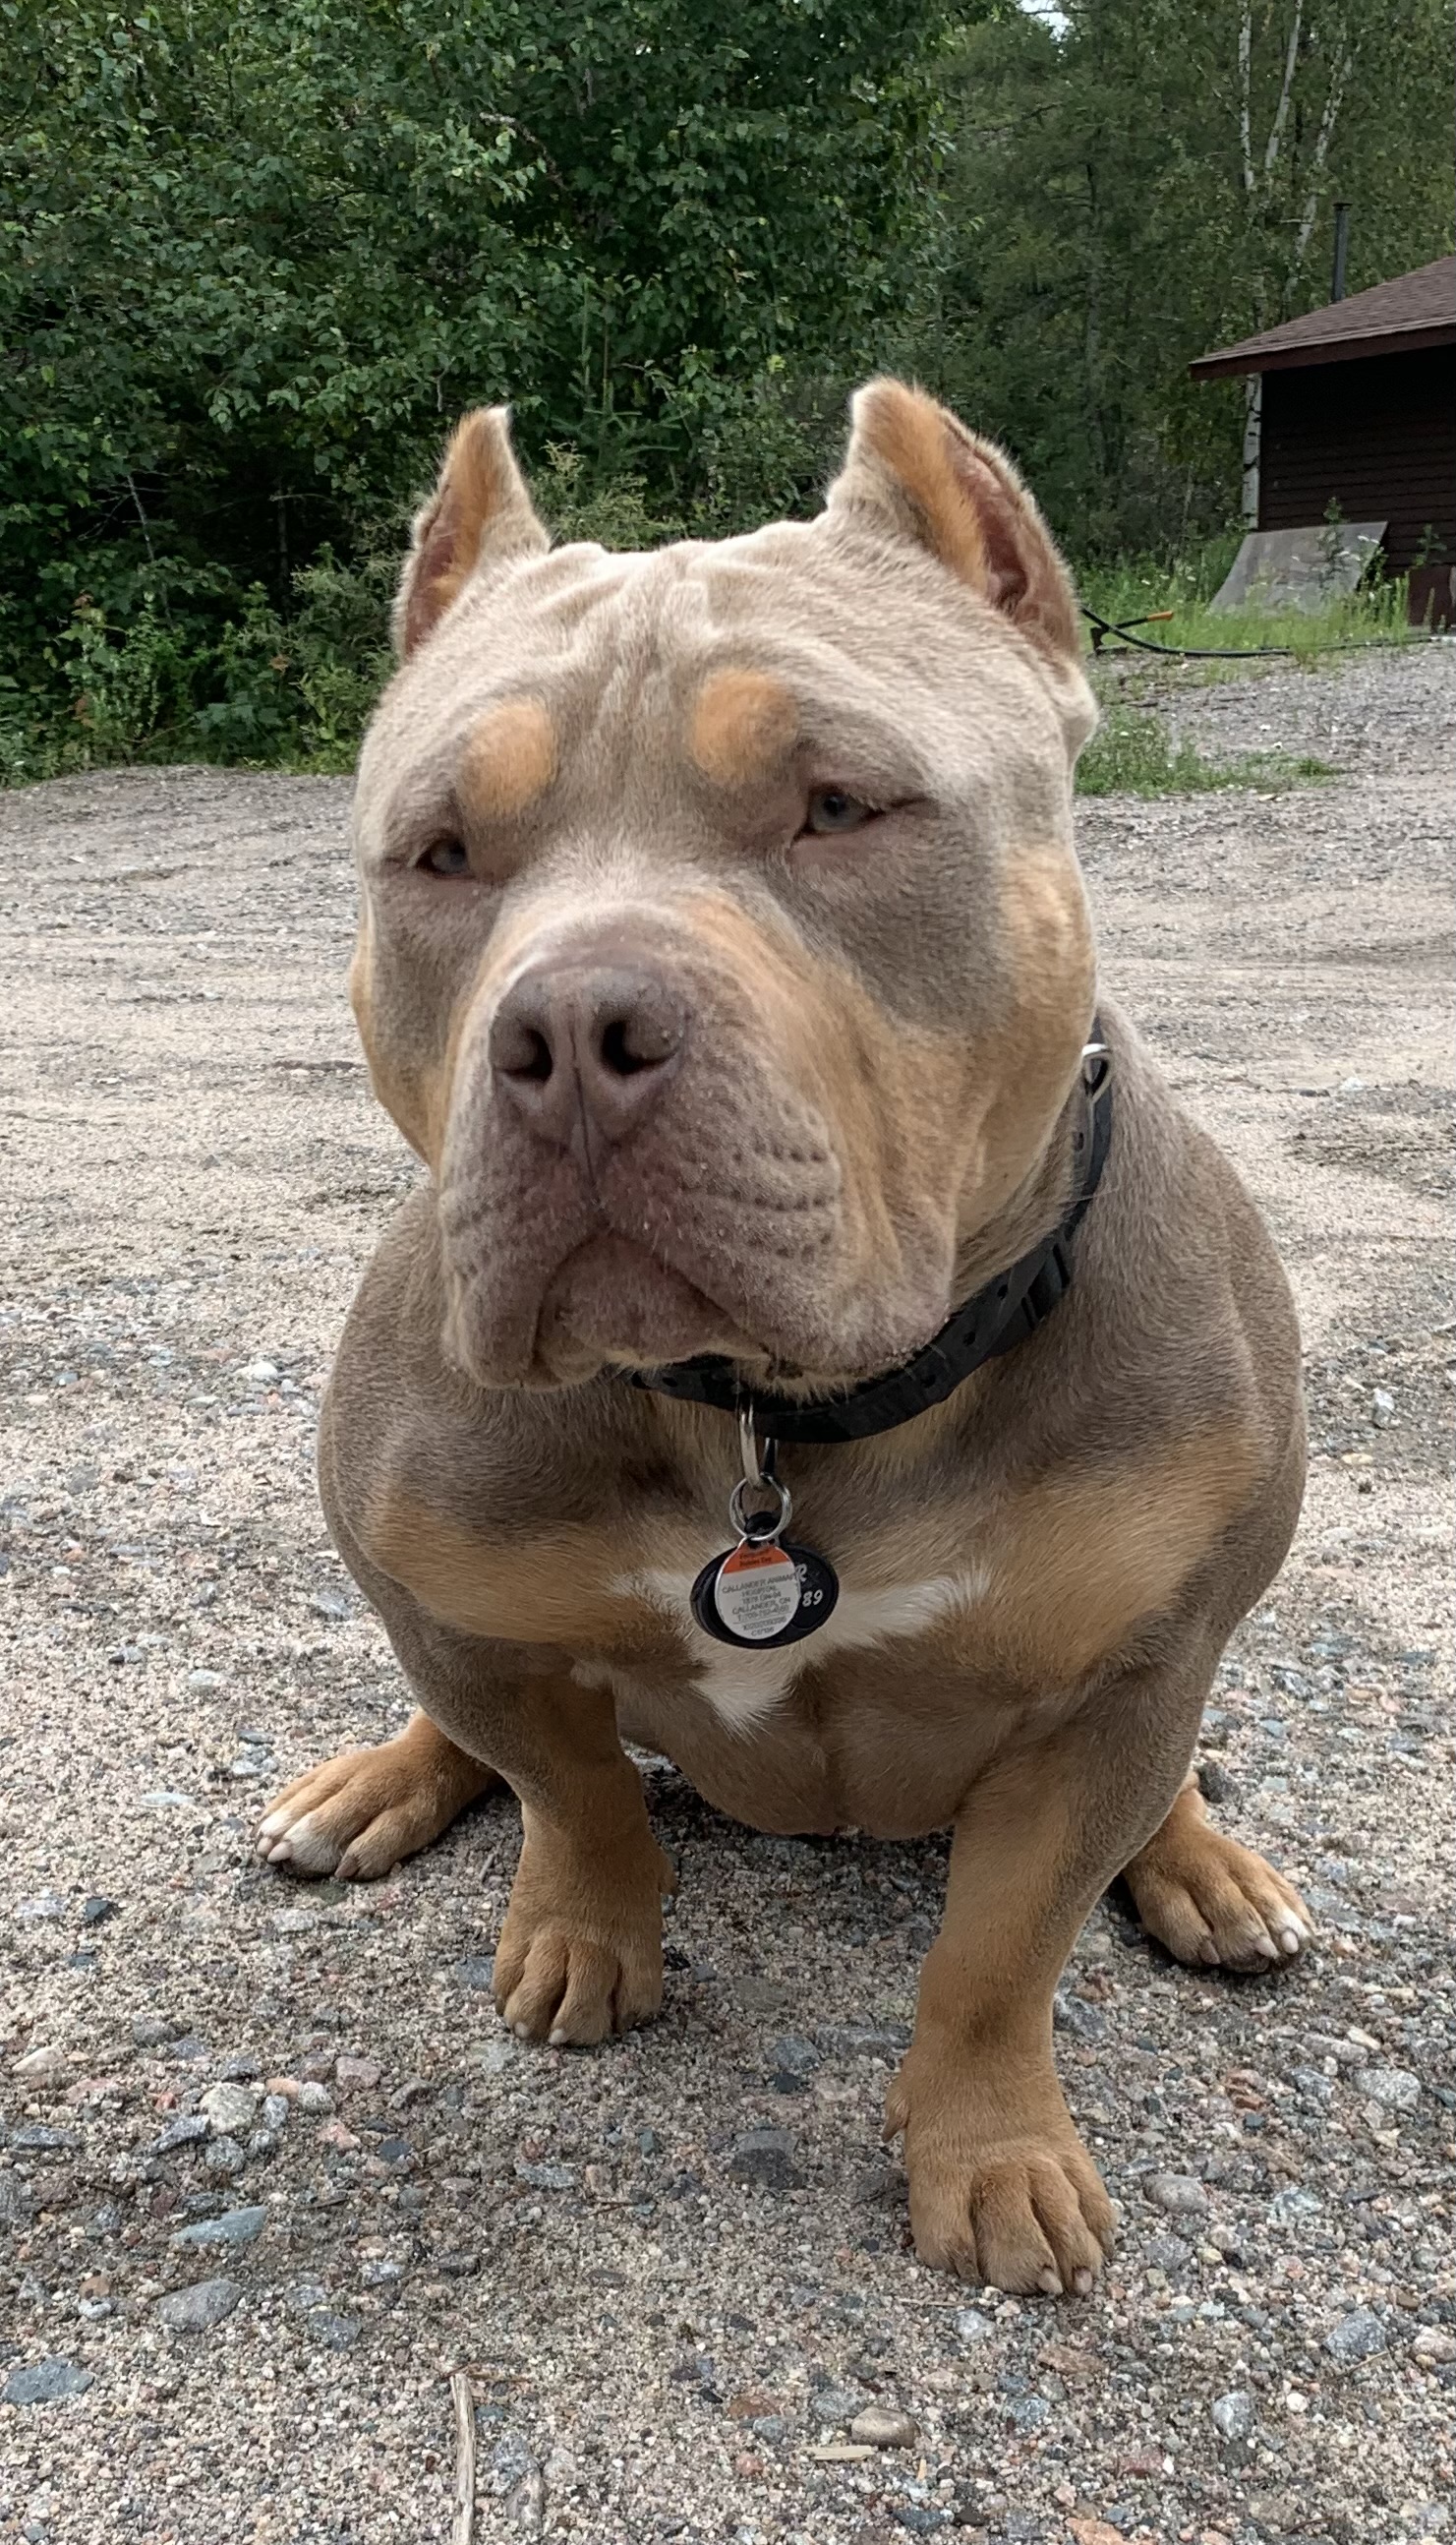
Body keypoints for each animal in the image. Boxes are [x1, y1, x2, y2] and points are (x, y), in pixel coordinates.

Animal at [257, 381, 1312, 2294]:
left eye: (839, 806)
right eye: (440, 854)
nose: (569, 1033)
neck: (784, 1417)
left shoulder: (1131, 1674)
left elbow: (999, 1952)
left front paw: (991, 2152)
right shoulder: (444, 1589)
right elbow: (572, 1788)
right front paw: (586, 1932)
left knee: (1169, 1781)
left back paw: (1206, 1869)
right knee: (475, 1726)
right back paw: (378, 1786)